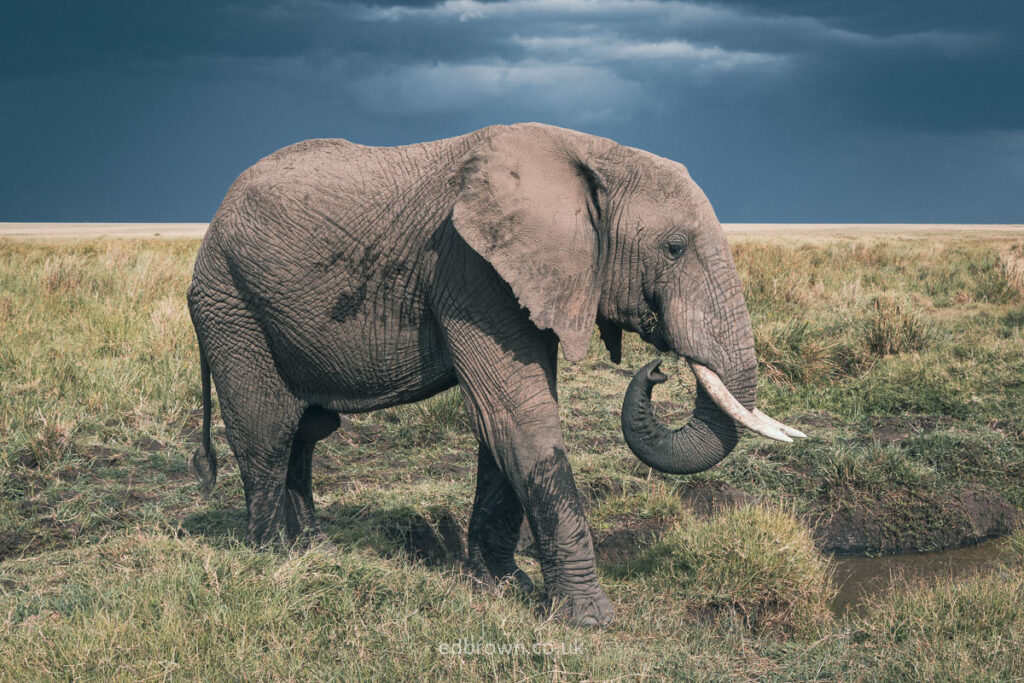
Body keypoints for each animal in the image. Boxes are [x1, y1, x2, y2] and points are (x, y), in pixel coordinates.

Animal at [186, 122, 804, 626]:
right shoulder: (470, 268)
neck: (590, 155)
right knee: (267, 430)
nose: (656, 371)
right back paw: (276, 558)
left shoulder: (523, 275)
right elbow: (518, 415)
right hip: (231, 305)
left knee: (308, 432)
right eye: (673, 248)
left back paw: (316, 551)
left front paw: (502, 585)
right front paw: (591, 620)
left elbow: (503, 422)